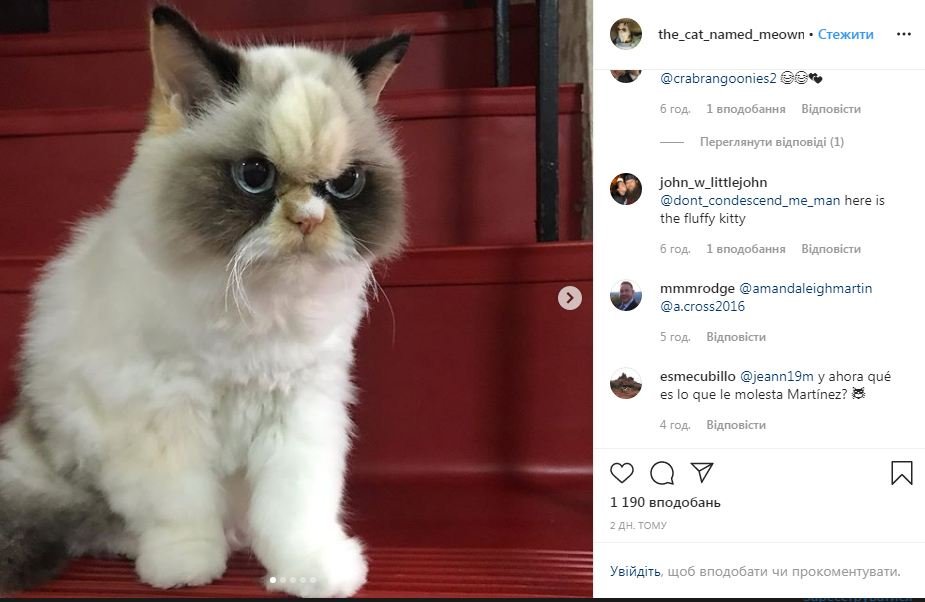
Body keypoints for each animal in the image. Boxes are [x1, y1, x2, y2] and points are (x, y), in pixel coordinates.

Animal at [0, 6, 409, 598]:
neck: (258, 309)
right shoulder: (166, 409)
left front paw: (309, 570)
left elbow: (298, 510)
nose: (309, 219)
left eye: (345, 184)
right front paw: (186, 566)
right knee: (97, 517)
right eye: (255, 176)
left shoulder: (301, 406)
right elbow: (181, 507)